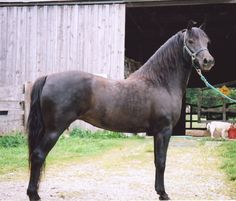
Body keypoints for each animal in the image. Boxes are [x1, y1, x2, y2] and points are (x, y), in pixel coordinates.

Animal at [26, 22, 215, 201]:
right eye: (190, 41)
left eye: (207, 41)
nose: (208, 61)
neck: (160, 83)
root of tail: (48, 77)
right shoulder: (164, 130)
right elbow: (161, 162)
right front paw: (163, 193)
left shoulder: (157, 132)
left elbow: (156, 161)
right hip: (54, 130)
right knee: (38, 155)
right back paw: (33, 195)